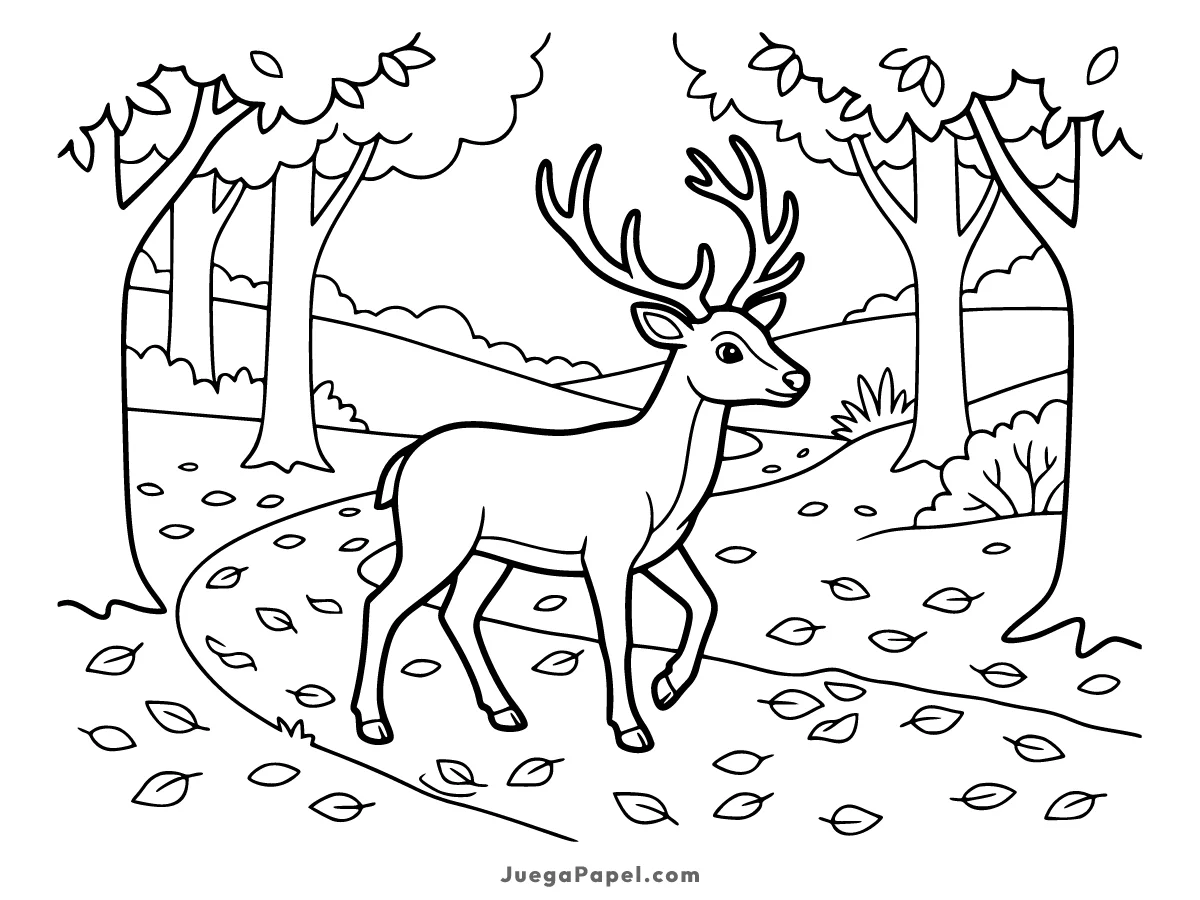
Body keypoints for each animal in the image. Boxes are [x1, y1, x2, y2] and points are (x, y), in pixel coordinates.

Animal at [351, 135, 809, 753]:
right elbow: (618, 635)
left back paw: (505, 711)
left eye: (765, 333)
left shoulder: (662, 549)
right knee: (384, 602)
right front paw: (631, 728)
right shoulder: (607, 551)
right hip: (437, 535)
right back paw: (374, 723)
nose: (796, 379)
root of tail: (402, 461)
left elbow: (708, 601)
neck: (664, 485)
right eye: (728, 349)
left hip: (489, 551)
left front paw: (668, 687)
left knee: (457, 612)